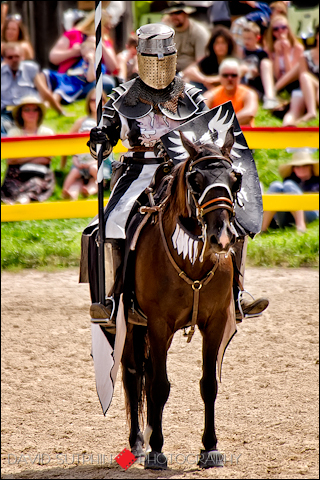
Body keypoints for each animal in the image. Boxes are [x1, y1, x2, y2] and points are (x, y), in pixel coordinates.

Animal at [121, 127, 241, 468]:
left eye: (235, 179)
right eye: (195, 180)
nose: (222, 237)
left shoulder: (215, 323)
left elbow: (209, 385)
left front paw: (210, 447)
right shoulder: (158, 324)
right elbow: (159, 386)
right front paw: (156, 450)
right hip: (132, 325)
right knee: (133, 373)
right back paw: (138, 442)